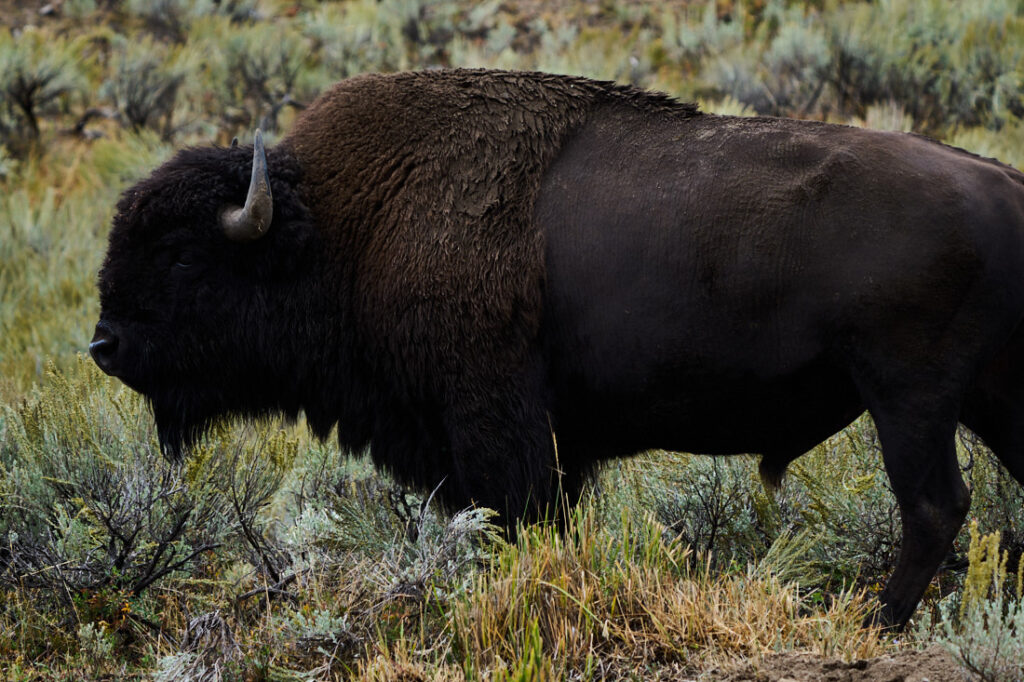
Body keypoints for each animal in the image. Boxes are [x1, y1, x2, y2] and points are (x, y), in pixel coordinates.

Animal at [91, 69, 1024, 629]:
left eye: (179, 256)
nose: (104, 345)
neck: (341, 228)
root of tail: (1002, 184)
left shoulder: (496, 429)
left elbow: (515, 521)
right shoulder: (550, 447)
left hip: (908, 396)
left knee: (933, 505)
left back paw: (874, 620)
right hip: (986, 395)